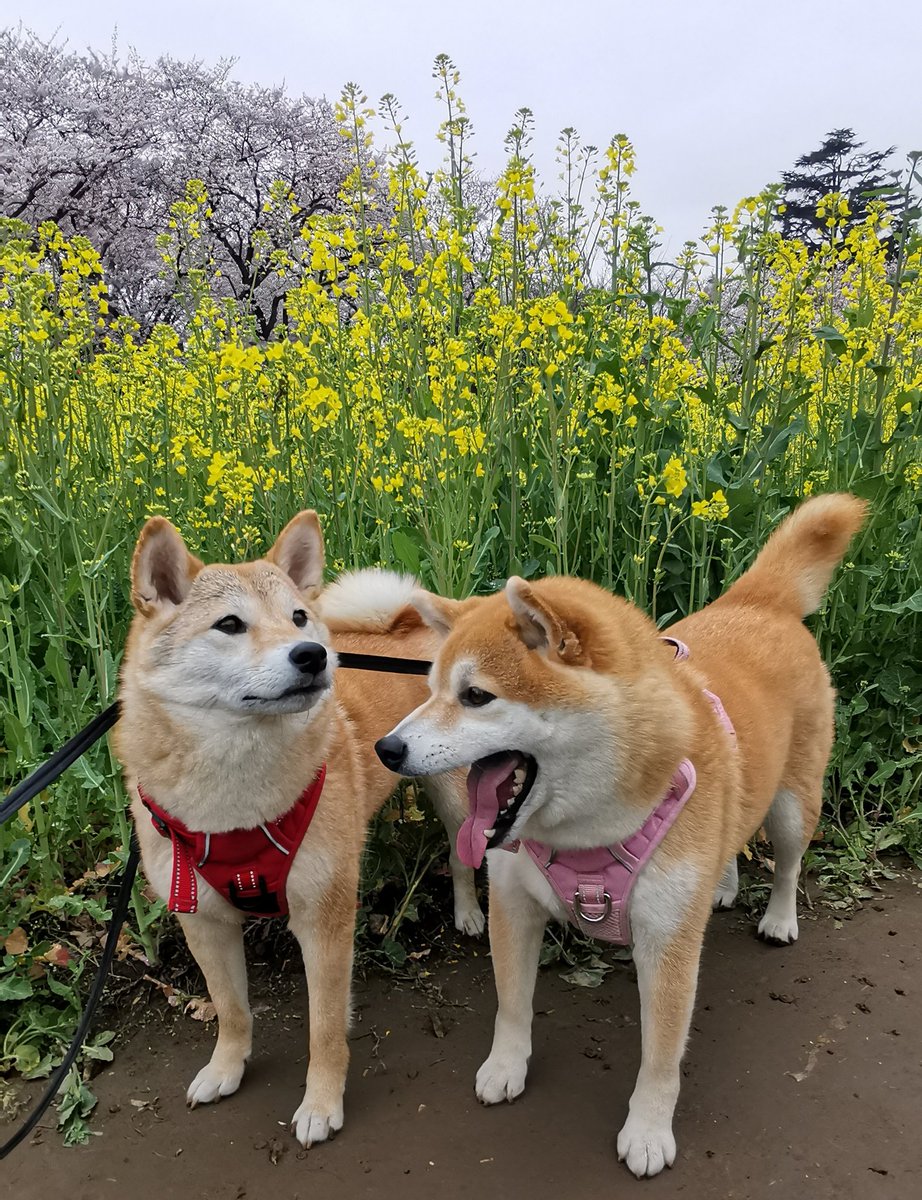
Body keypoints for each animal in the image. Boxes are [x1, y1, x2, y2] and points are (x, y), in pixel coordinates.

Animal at [115, 511, 482, 1147]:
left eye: (298, 617)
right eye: (229, 624)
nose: (312, 654)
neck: (236, 804)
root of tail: (406, 621)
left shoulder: (324, 919)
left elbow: (325, 1029)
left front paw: (321, 1103)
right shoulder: (203, 921)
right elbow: (232, 1009)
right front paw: (226, 1067)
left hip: (452, 793)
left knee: (462, 856)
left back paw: (468, 912)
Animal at [374, 496, 864, 1180]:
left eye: (475, 696)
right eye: (430, 690)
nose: (387, 748)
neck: (587, 830)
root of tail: (758, 602)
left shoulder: (668, 941)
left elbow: (661, 1055)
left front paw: (649, 1131)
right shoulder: (513, 904)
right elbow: (511, 1004)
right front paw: (506, 1067)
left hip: (794, 806)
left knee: (789, 863)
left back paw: (779, 917)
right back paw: (724, 886)